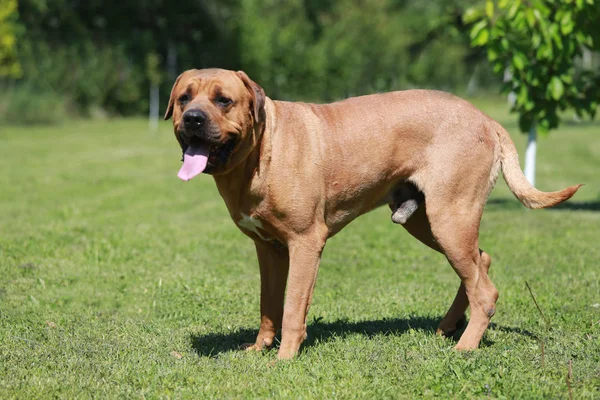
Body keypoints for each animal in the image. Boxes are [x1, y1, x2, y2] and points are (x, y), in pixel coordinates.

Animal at [165, 68, 580, 360]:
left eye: (223, 100)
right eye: (184, 98)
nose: (194, 118)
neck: (260, 152)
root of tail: (487, 120)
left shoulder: (305, 243)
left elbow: (293, 306)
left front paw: (284, 358)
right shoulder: (268, 249)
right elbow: (269, 304)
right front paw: (259, 348)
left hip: (450, 217)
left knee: (485, 289)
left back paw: (465, 347)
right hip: (426, 222)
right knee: (481, 263)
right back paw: (448, 327)